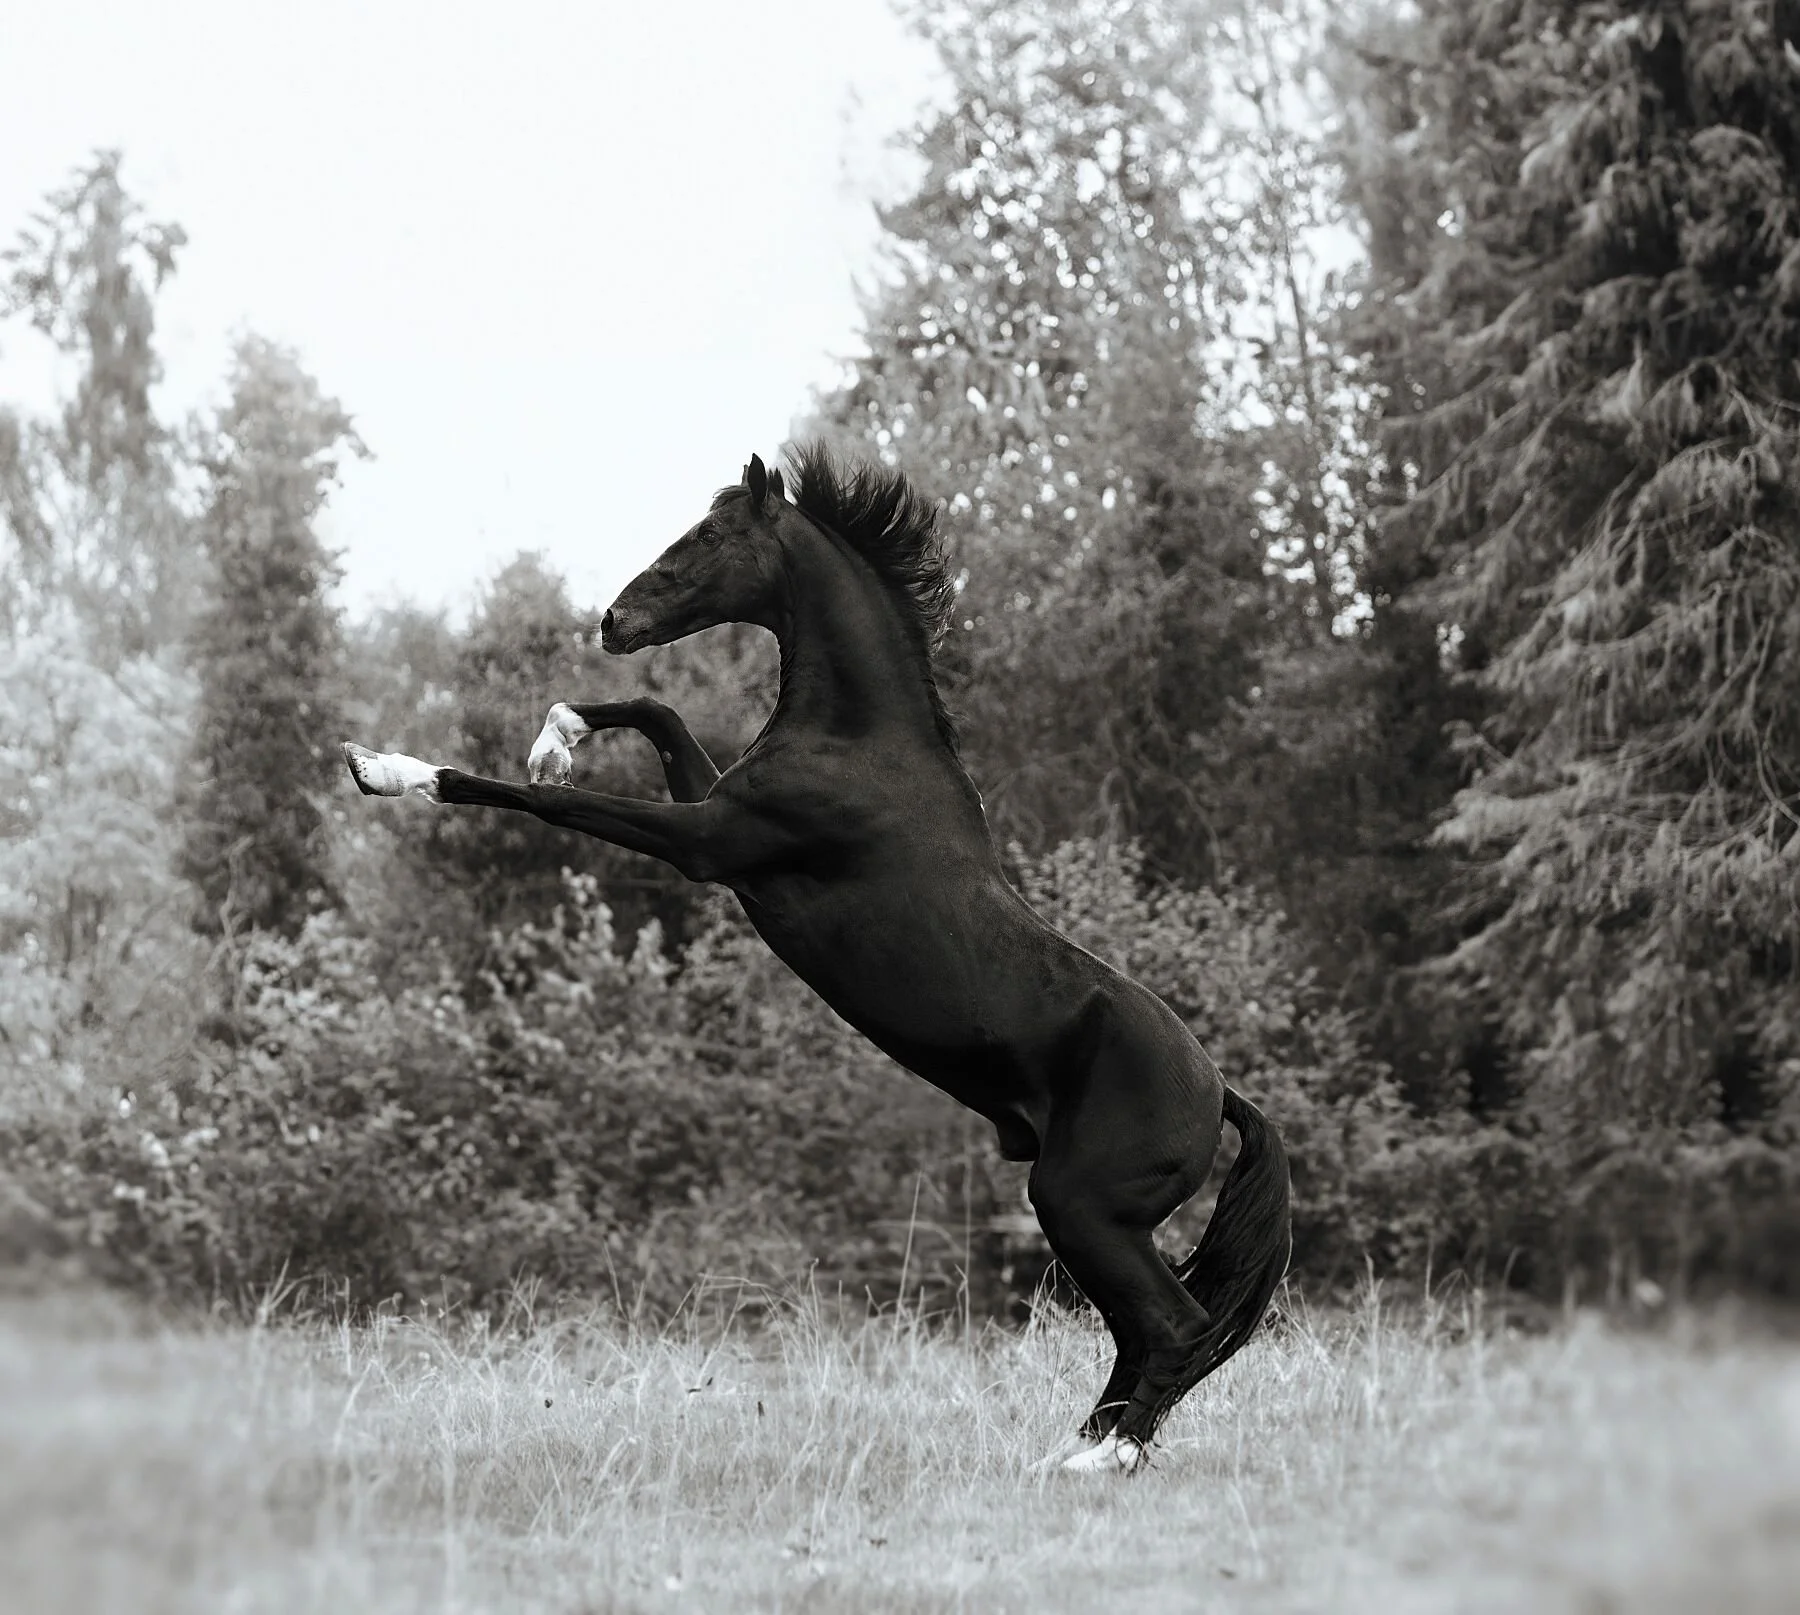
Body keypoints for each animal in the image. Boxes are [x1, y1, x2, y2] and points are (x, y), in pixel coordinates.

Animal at [342, 444, 1291, 1472]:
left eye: (712, 536)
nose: (613, 620)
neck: (860, 744)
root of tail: (1221, 1093)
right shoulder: (718, 823)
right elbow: (657, 710)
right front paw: (555, 732)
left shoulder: (707, 842)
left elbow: (544, 798)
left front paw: (391, 769)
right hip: (1096, 1220)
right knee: (1145, 1334)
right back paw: (1078, 1447)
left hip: (1080, 1205)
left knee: (1174, 1326)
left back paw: (1099, 1459)